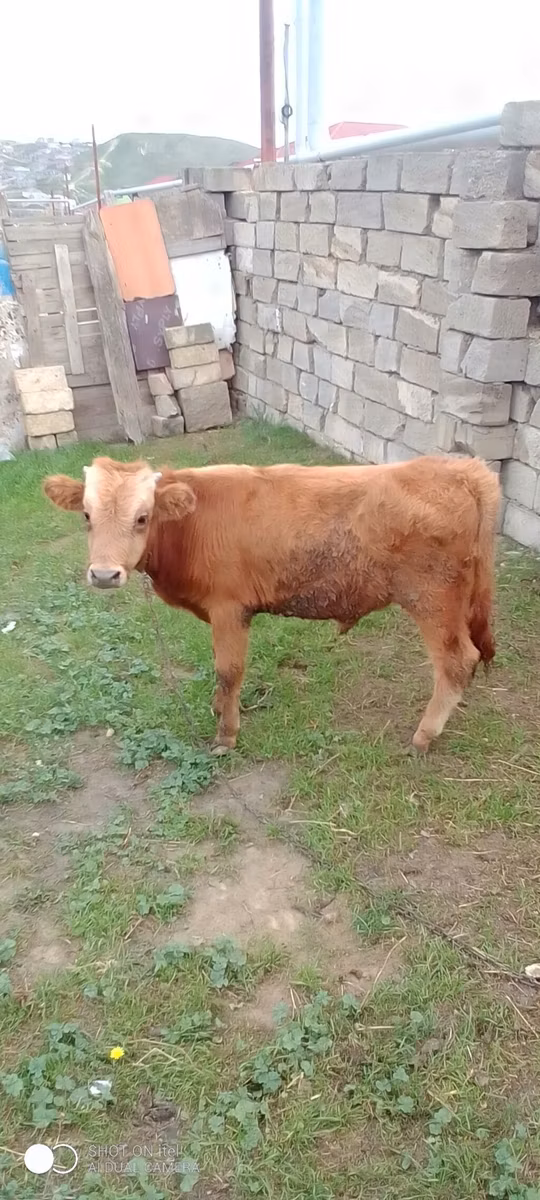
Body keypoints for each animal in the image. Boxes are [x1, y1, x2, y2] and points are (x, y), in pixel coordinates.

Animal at [44, 453, 500, 755]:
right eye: (86, 515)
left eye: (142, 517)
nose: (105, 574)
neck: (191, 525)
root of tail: (459, 468)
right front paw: (218, 708)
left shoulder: (229, 609)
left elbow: (228, 671)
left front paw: (226, 734)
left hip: (433, 600)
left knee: (457, 662)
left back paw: (424, 735)